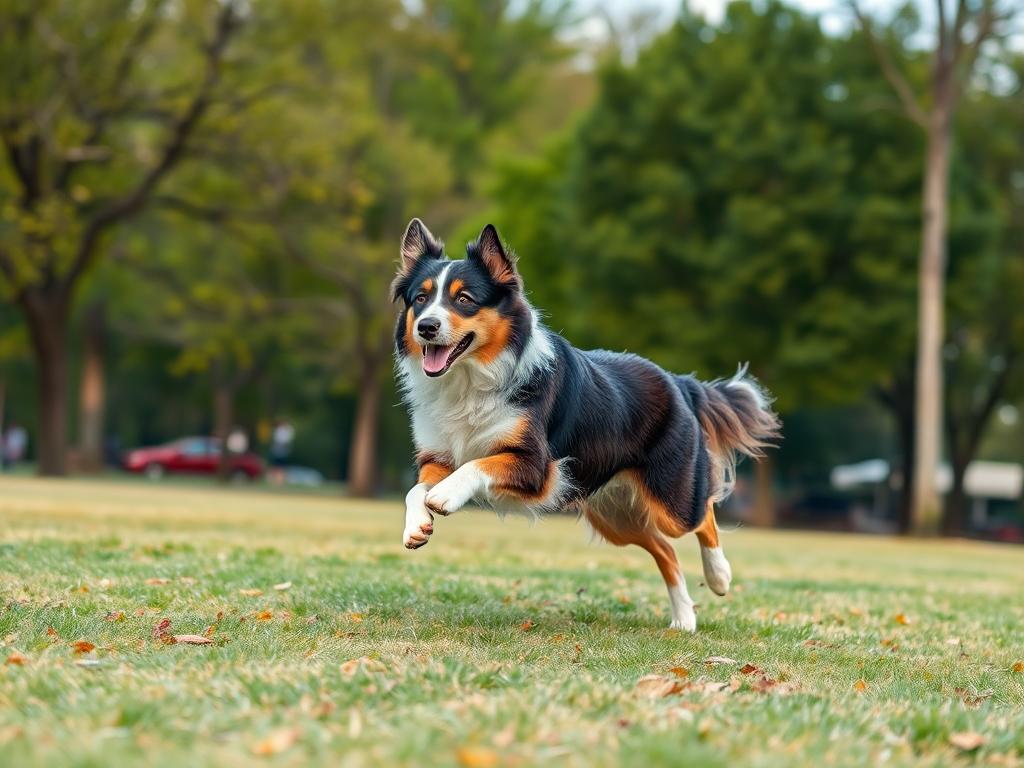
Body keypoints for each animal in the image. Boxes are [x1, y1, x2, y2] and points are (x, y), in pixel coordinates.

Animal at [389, 219, 774, 634]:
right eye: (420, 299)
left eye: (464, 299)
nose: (427, 327)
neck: (470, 380)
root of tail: (678, 381)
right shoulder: (438, 456)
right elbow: (415, 489)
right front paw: (417, 525)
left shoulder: (536, 466)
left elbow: (477, 464)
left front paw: (444, 496)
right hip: (615, 516)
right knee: (665, 548)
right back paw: (684, 618)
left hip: (670, 498)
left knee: (701, 514)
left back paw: (719, 577)